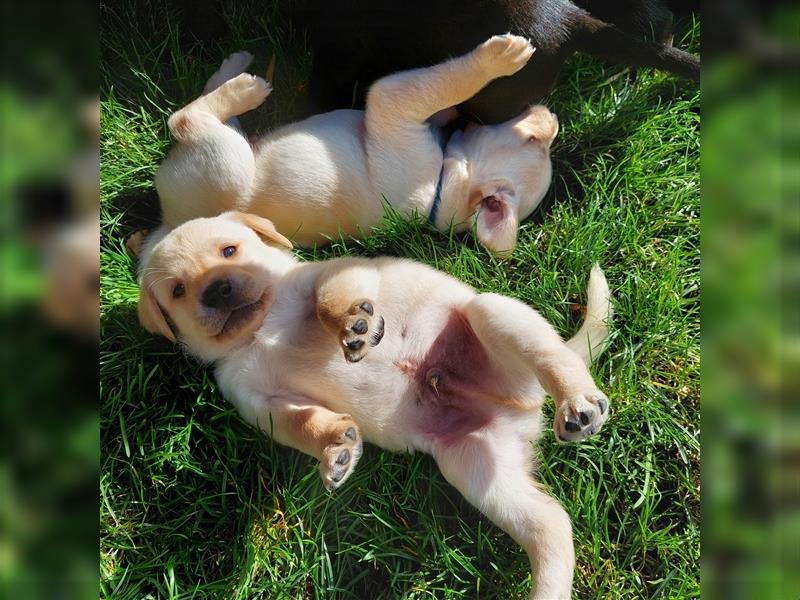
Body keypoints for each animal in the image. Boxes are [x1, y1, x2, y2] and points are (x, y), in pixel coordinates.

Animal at [138, 212, 612, 600]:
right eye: (178, 290)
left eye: (229, 251)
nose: (217, 289)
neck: (258, 330)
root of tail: (524, 405)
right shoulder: (261, 404)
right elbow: (304, 424)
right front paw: (337, 448)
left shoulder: (332, 273)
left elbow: (329, 300)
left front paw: (354, 325)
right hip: (479, 469)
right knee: (552, 525)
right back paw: (547, 589)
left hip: (493, 316)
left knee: (552, 356)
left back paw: (578, 404)